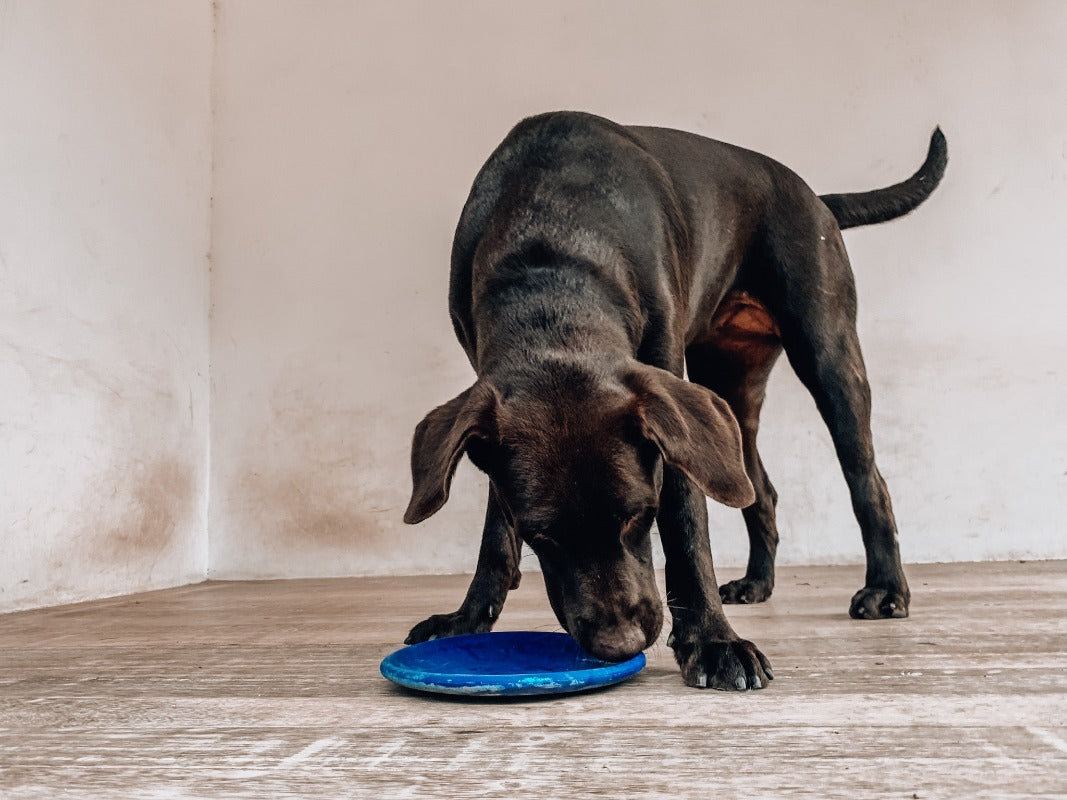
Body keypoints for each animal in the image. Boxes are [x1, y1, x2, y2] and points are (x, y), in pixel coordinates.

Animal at [399, 109, 943, 691]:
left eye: (640, 513)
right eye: (540, 534)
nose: (620, 645)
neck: (552, 254)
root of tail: (814, 196)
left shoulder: (666, 391)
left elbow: (686, 522)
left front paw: (712, 640)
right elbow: (494, 534)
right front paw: (467, 618)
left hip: (827, 355)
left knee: (867, 479)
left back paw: (886, 589)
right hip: (727, 393)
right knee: (759, 489)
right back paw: (757, 583)